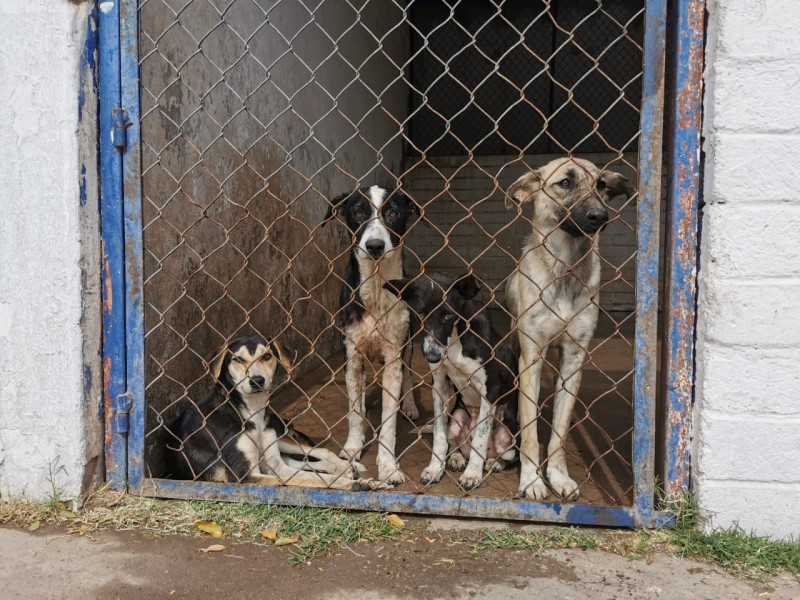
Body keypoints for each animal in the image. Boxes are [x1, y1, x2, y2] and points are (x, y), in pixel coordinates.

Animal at [164, 336, 382, 490]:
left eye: (267, 356)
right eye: (237, 359)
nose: (256, 380)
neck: (250, 412)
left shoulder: (274, 465)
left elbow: (312, 476)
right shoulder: (246, 475)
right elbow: (313, 481)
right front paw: (355, 484)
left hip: (279, 437)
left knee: (317, 452)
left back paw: (348, 467)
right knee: (302, 462)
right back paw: (347, 471)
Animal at [322, 185, 422, 486]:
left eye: (393, 213)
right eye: (357, 213)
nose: (375, 246)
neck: (377, 288)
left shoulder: (394, 358)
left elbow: (389, 423)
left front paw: (389, 467)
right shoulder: (352, 356)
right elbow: (354, 413)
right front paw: (353, 448)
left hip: (409, 343)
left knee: (409, 373)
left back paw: (410, 405)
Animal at [382, 274, 520, 490]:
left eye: (448, 316)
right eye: (420, 313)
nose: (432, 356)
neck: (456, 340)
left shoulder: (490, 391)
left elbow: (481, 438)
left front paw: (472, 474)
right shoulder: (440, 384)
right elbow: (439, 434)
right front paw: (434, 469)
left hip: (509, 436)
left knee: (506, 456)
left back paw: (494, 462)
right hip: (456, 419)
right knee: (454, 443)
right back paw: (456, 458)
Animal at [510, 157, 636, 500]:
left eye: (601, 185)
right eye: (565, 183)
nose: (600, 217)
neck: (565, 269)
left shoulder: (573, 360)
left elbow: (560, 433)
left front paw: (558, 476)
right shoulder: (532, 357)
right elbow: (530, 431)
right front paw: (531, 480)